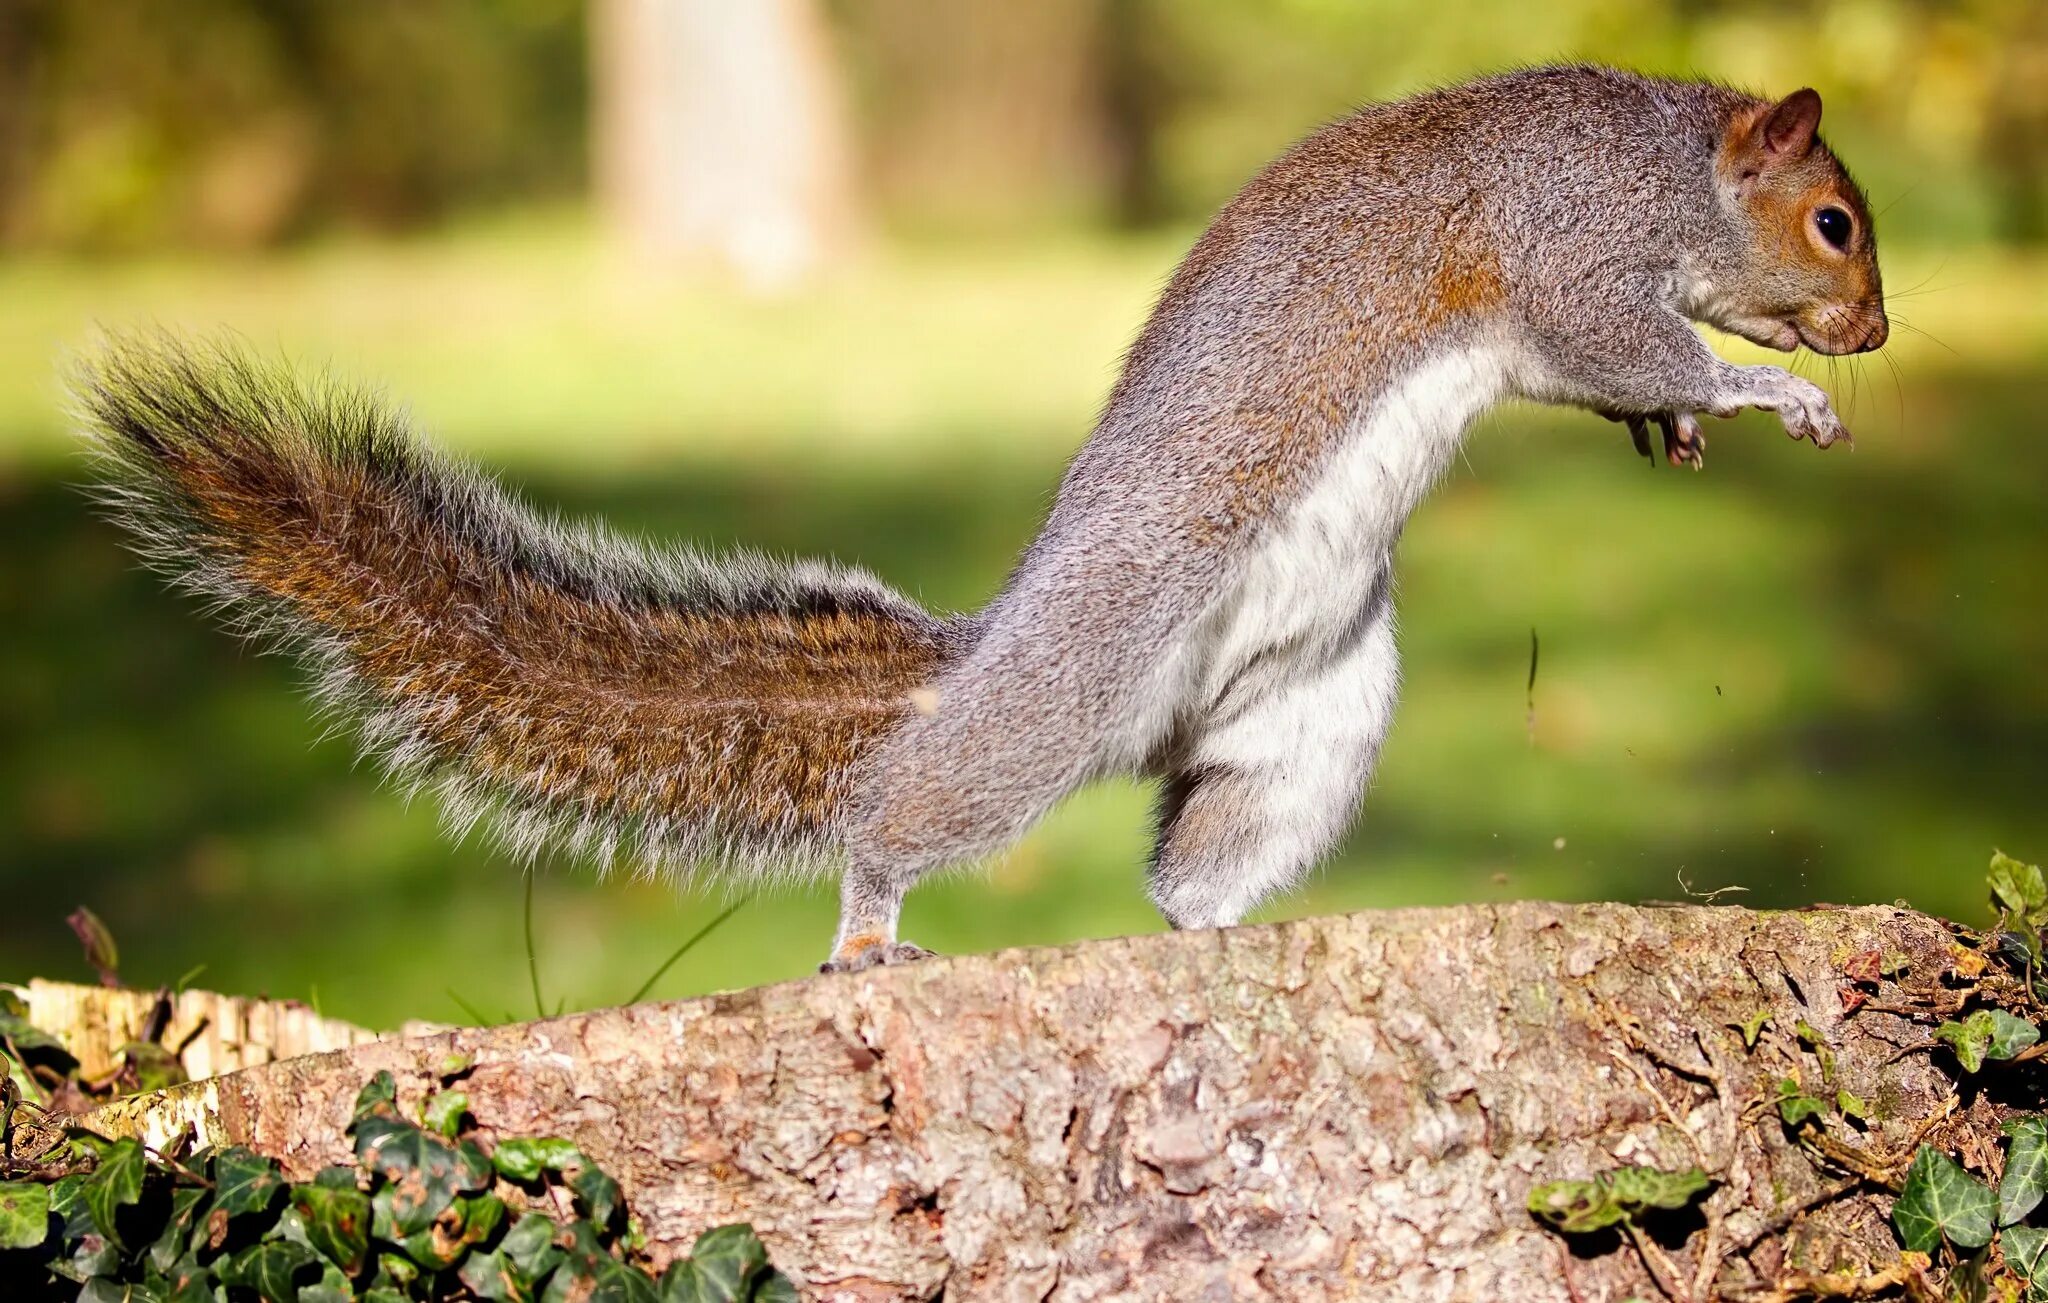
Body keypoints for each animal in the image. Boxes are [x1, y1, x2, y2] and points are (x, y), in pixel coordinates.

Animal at [72, 66, 1892, 971]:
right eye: (1832, 222)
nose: (1874, 332)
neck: (1662, 160)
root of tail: (995, 635)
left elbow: (1623, 375)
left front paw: (1683, 424)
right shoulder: (1565, 248)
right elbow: (1626, 338)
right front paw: (1764, 397)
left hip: (1304, 718)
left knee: (1191, 866)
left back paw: (1236, 934)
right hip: (1067, 690)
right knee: (904, 802)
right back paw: (871, 925)